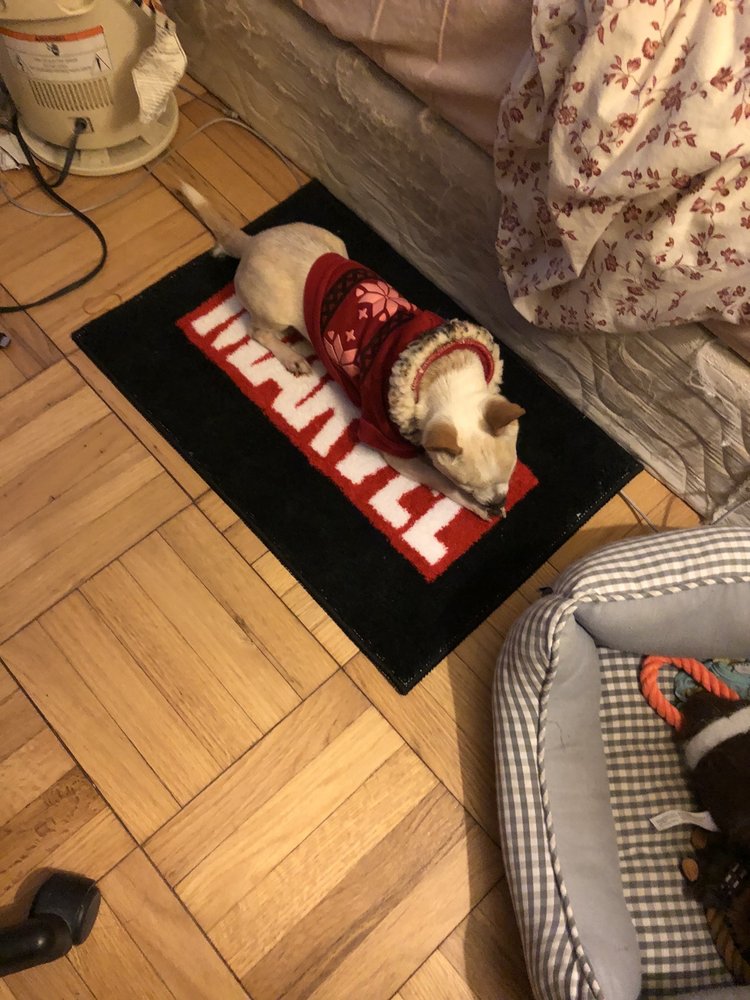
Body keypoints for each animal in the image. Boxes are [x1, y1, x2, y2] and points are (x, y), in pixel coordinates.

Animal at [180, 183, 525, 519]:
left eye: (510, 472)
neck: (438, 367)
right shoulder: (391, 448)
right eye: (467, 486)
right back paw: (292, 356)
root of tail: (252, 241)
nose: (496, 502)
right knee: (258, 331)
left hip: (336, 244)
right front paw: (474, 507)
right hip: (275, 310)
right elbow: (439, 481)